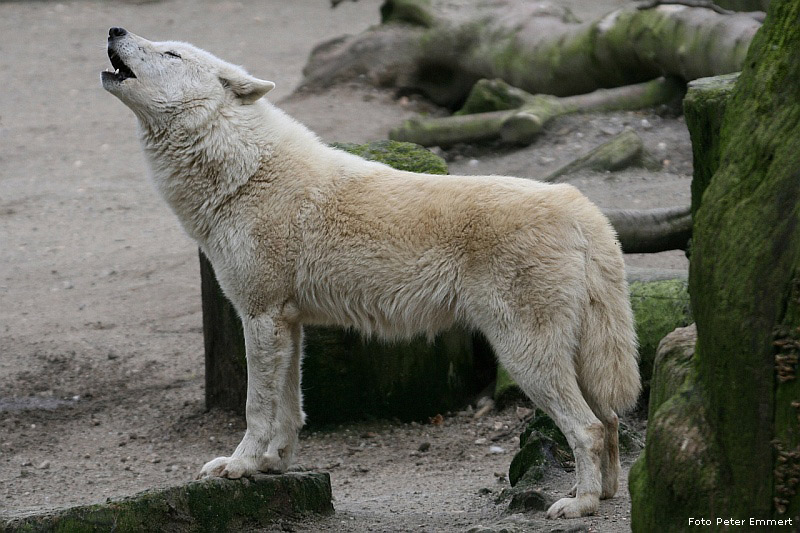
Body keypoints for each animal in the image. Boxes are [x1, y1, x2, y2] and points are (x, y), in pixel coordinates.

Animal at [101, 27, 636, 516]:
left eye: (171, 53)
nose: (115, 29)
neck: (244, 172)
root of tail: (582, 207)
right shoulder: (289, 323)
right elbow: (290, 411)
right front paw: (274, 466)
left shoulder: (260, 316)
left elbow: (257, 409)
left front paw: (241, 466)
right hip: (573, 356)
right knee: (610, 420)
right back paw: (606, 494)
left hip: (526, 356)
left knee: (588, 427)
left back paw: (581, 504)